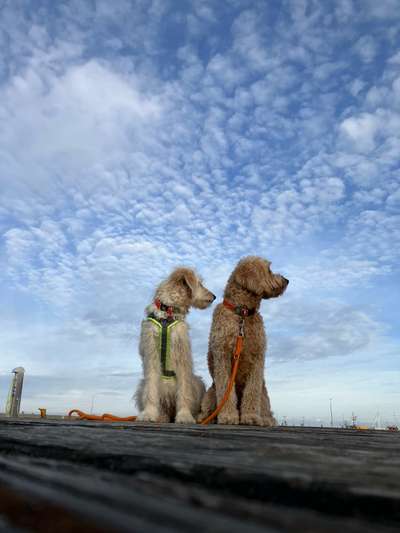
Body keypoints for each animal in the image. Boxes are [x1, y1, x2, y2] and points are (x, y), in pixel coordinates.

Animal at [135, 268, 216, 422]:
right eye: (200, 283)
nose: (214, 296)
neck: (167, 313)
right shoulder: (151, 354)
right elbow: (151, 388)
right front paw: (149, 413)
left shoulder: (183, 354)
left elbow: (184, 389)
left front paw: (184, 415)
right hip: (142, 386)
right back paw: (161, 416)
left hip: (197, 381)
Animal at [199, 256, 288, 426]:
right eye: (269, 270)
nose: (287, 280)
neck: (242, 314)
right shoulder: (223, 356)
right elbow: (226, 390)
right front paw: (228, 416)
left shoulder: (258, 359)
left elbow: (252, 392)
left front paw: (250, 416)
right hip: (210, 394)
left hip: (264, 395)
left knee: (266, 409)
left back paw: (266, 419)